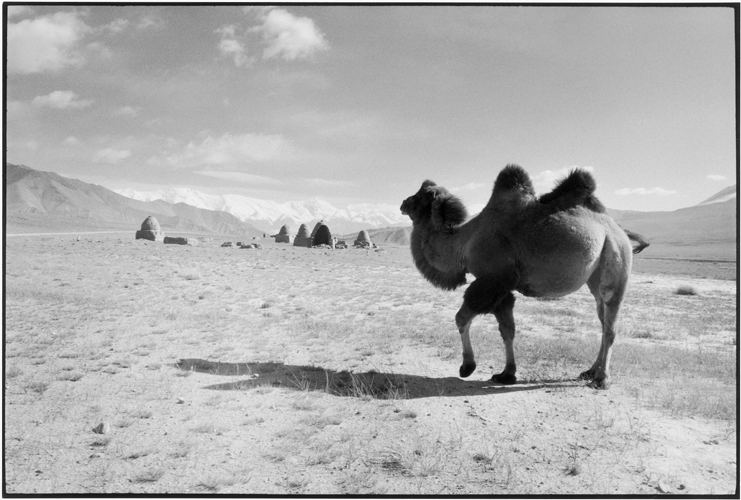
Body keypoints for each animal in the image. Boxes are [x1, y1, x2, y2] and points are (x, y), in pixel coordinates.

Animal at [398, 165, 648, 390]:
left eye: (419, 195)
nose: (402, 203)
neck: (464, 241)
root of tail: (619, 230)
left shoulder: (491, 280)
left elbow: (461, 318)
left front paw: (467, 367)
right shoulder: (502, 288)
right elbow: (507, 329)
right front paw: (507, 374)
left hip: (617, 258)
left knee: (610, 322)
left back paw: (602, 379)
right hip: (596, 276)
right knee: (602, 318)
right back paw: (590, 371)